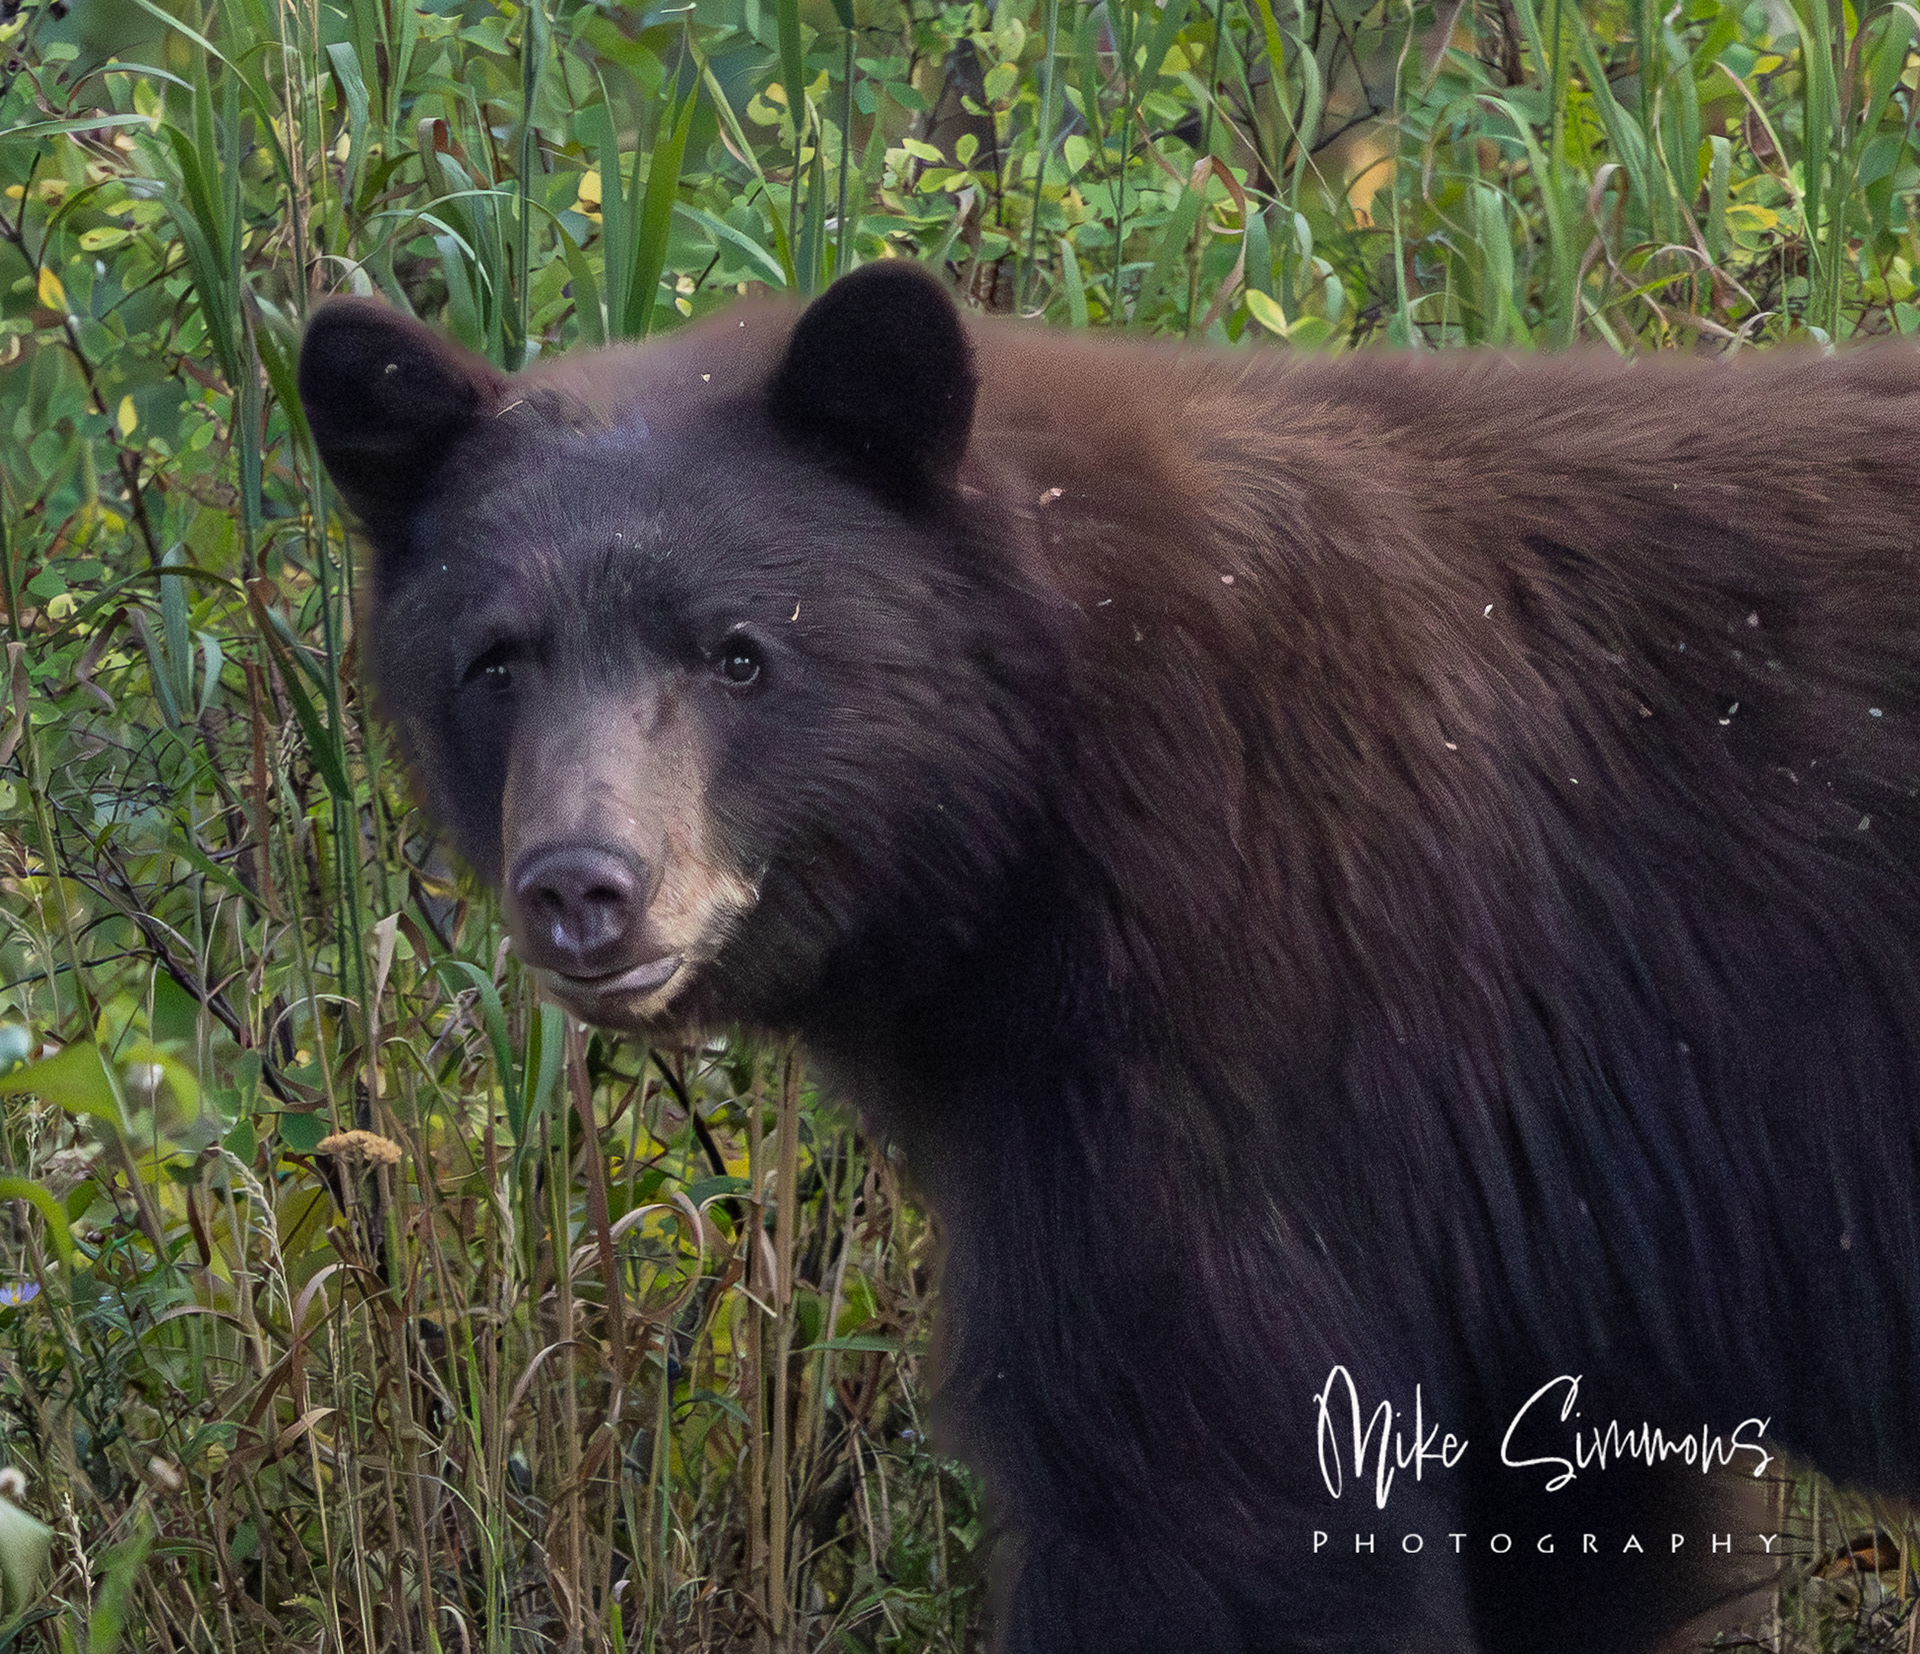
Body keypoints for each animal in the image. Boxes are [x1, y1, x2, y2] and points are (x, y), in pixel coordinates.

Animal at [298, 263, 1920, 1654]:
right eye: (495, 658)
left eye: (740, 651)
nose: (583, 887)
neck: (1049, 761)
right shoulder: (1540, 1259)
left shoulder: (1246, 1025)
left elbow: (1204, 1485)